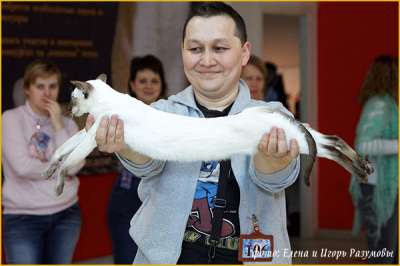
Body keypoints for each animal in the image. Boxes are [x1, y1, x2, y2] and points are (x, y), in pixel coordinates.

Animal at [45, 74, 374, 195]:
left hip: (293, 139)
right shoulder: (89, 131)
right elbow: (61, 150)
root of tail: (276, 113)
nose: (70, 111)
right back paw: (363, 168)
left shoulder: (92, 136)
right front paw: (48, 169)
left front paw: (57, 184)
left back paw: (362, 169)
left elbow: (69, 161)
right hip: (301, 133)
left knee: (328, 144)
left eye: (72, 99)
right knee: (332, 141)